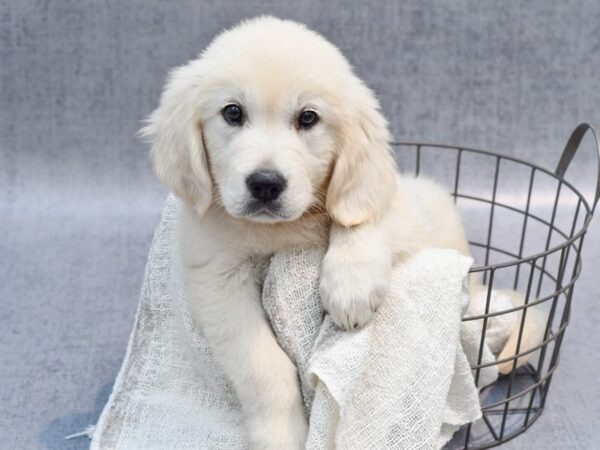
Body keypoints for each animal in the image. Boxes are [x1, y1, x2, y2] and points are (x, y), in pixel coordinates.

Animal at [141, 15, 524, 448]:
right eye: (233, 113)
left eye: (308, 118)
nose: (265, 185)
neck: (282, 230)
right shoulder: (218, 281)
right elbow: (262, 367)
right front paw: (280, 434)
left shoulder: (396, 210)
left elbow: (361, 218)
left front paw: (350, 286)